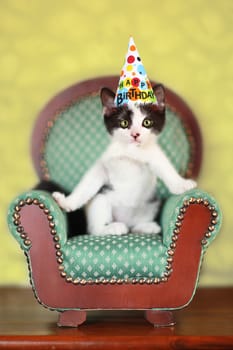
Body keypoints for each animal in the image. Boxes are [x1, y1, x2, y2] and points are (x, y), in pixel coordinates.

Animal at [52, 85, 197, 235]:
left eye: (147, 122)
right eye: (124, 123)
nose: (135, 134)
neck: (131, 152)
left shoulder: (154, 155)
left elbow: (165, 168)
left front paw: (182, 184)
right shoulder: (105, 163)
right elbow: (87, 185)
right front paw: (66, 202)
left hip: (151, 203)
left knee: (135, 225)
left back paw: (146, 227)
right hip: (101, 198)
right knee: (94, 229)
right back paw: (112, 228)